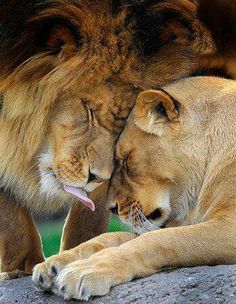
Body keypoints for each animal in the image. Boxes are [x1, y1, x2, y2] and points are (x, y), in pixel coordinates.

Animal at [32, 77, 235, 300]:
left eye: (126, 160)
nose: (111, 208)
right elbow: (111, 237)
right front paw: (55, 264)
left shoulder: (228, 226)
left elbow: (157, 240)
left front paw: (87, 269)